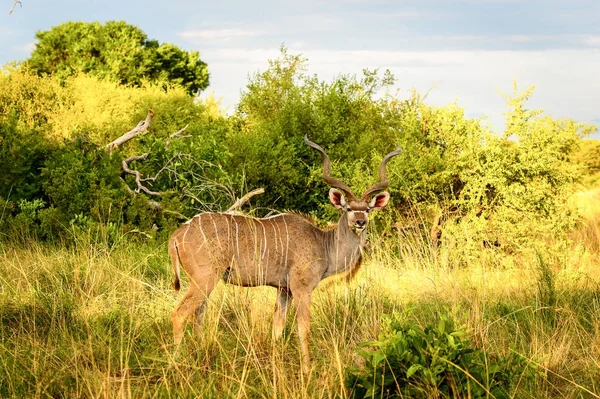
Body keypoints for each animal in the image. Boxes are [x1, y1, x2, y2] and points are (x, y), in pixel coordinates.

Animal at [168, 136, 398, 374]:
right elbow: (303, 326)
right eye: (349, 209)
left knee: (198, 315)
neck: (322, 243)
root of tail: (177, 235)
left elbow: (277, 327)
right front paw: (306, 369)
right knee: (180, 313)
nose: (360, 222)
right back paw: (176, 361)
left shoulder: (283, 290)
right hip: (204, 279)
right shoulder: (301, 288)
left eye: (368, 209)